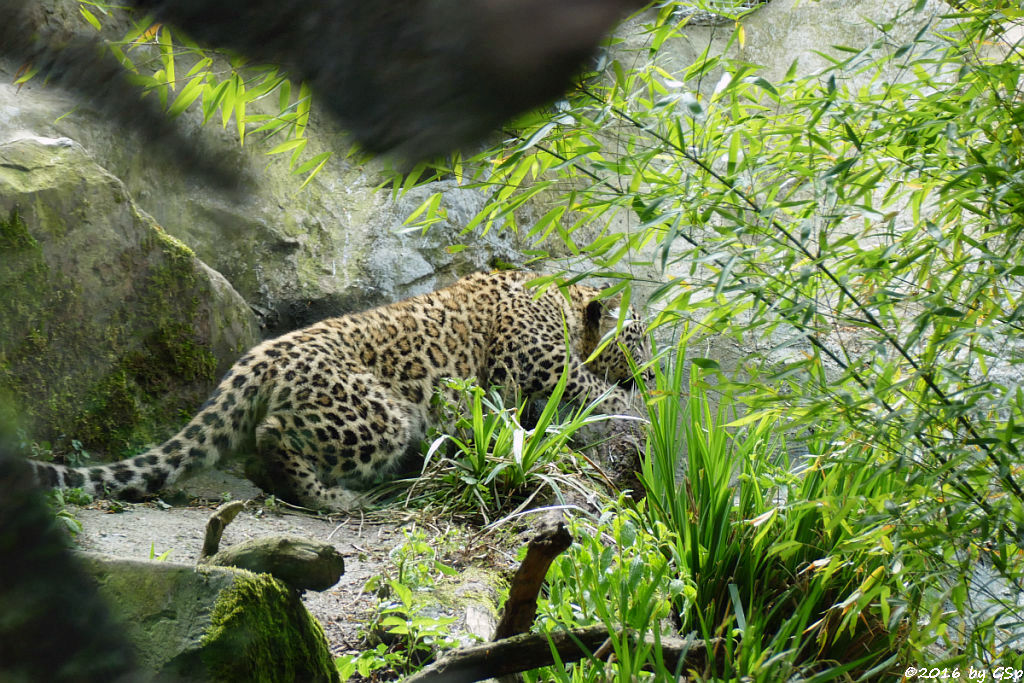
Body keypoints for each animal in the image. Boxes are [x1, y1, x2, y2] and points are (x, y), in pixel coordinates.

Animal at [29, 270, 647, 509]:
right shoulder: (534, 356)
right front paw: (634, 405)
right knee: (277, 436)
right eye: (639, 335)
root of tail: (262, 353)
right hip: (379, 414)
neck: (562, 300)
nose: (657, 372)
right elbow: (588, 382)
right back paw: (335, 498)